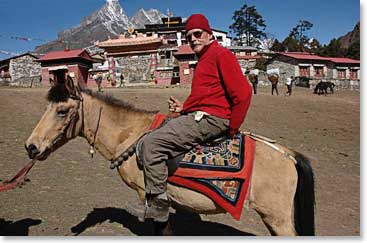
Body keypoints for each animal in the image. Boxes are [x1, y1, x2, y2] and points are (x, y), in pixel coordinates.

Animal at [24, 77, 314, 235]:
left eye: (62, 111)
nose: (31, 147)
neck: (131, 134)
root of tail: (288, 155)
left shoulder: (149, 196)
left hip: (277, 217)